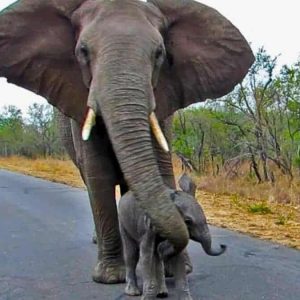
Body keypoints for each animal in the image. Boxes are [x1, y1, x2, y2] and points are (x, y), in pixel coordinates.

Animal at [0, 0, 253, 284]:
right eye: (83, 51)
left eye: (159, 53)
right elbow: (98, 176)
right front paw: (111, 277)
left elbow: (161, 168)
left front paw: (178, 268)